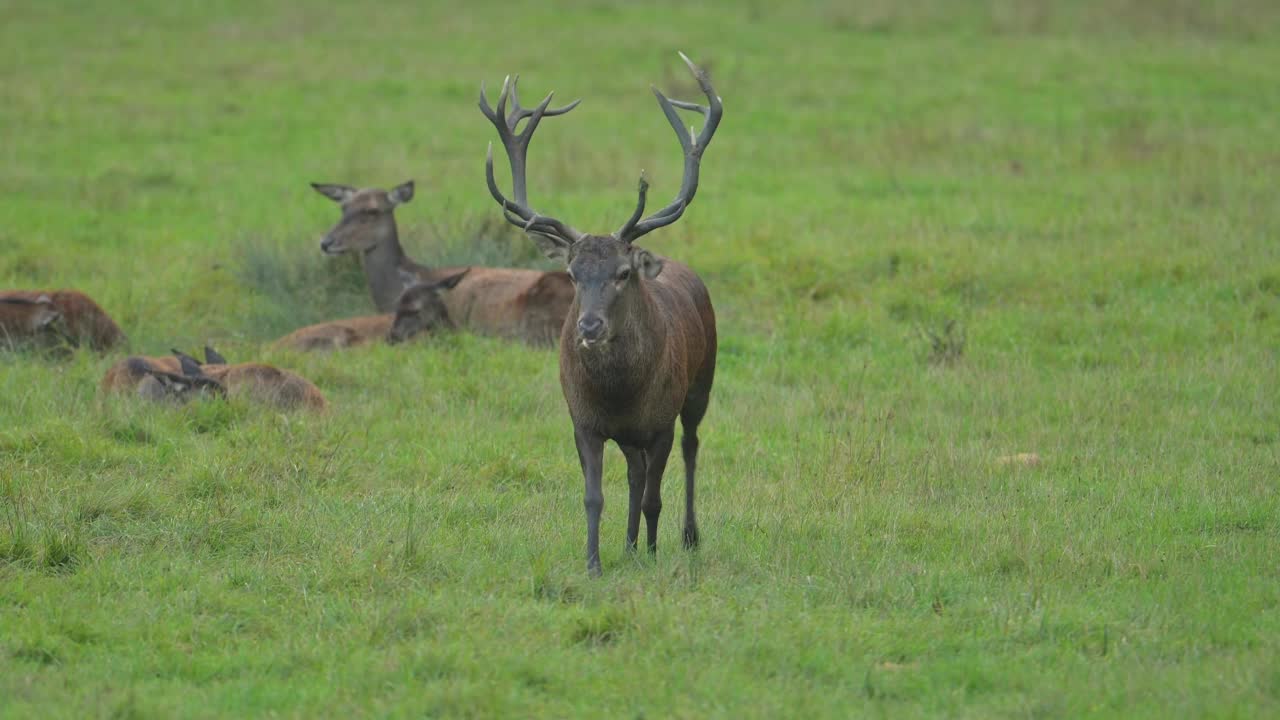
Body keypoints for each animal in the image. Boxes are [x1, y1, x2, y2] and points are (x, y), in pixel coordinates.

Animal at [481, 50, 721, 571]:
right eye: (572, 274)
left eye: (623, 273)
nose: (589, 326)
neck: (619, 393)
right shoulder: (583, 421)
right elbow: (595, 496)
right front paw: (593, 562)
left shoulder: (660, 421)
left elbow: (655, 497)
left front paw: (652, 553)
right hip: (630, 434)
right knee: (633, 473)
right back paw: (628, 545)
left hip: (701, 384)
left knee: (691, 450)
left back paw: (685, 537)